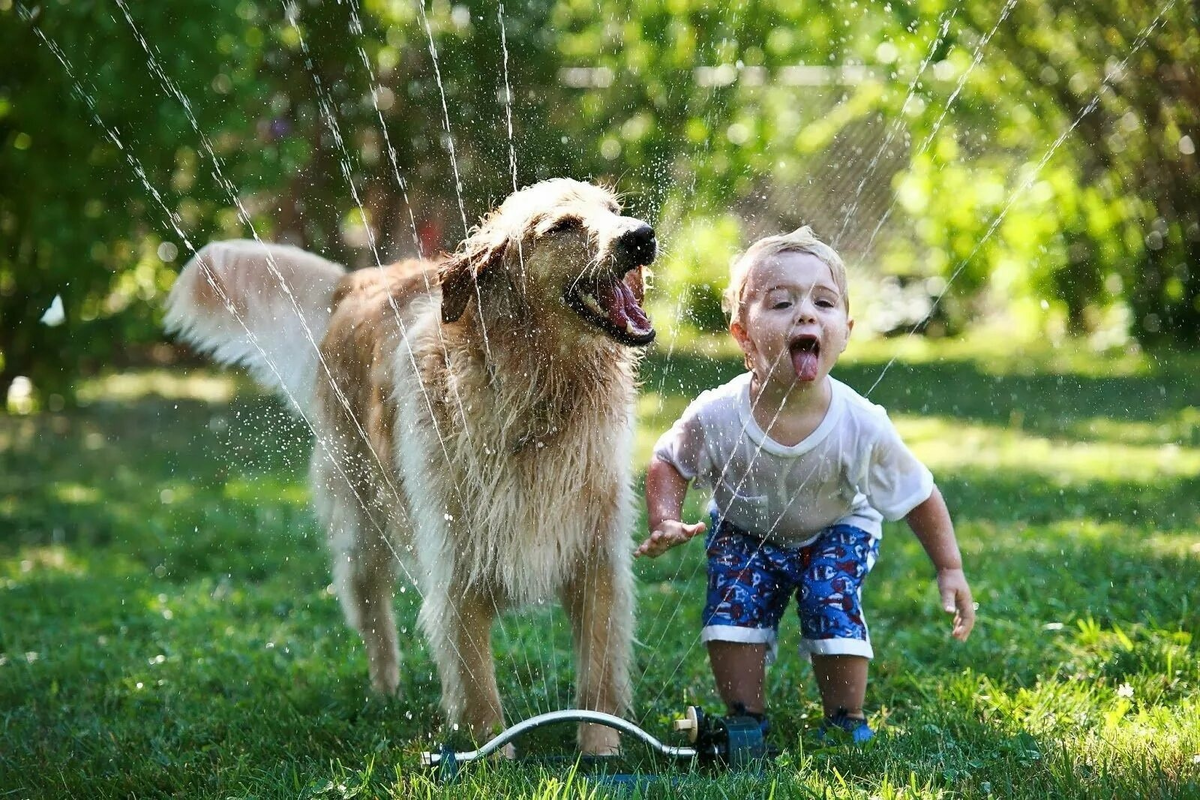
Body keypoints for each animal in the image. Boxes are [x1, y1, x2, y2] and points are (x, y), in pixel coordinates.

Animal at [162, 178, 657, 753]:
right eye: (562, 226)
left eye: (614, 210)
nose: (642, 235)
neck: (537, 396)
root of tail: (357, 280)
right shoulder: (456, 561)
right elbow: (476, 681)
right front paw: (493, 754)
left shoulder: (597, 557)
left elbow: (597, 671)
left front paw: (601, 748)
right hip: (361, 520)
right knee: (372, 613)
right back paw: (386, 691)